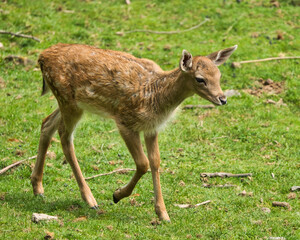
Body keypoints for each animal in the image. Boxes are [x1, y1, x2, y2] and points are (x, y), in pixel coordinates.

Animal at [30, 43, 237, 221]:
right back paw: (90, 199)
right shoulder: (125, 122)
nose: (222, 99)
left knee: (46, 123)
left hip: (71, 103)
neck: (156, 97)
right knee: (65, 136)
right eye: (200, 79)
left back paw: (38, 187)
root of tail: (41, 57)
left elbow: (155, 162)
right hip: (68, 99)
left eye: (219, 75)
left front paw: (163, 214)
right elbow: (143, 163)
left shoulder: (151, 128)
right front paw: (117, 195)